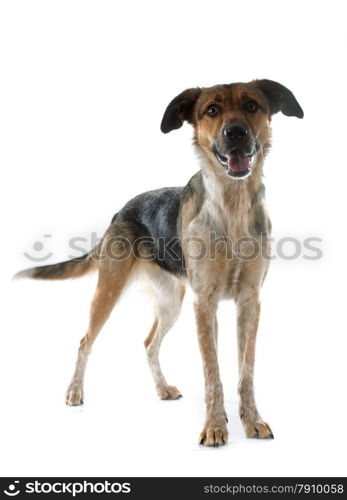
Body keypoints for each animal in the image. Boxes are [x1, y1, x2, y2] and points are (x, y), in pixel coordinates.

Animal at [17, 80, 304, 448]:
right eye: (212, 110)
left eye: (252, 105)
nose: (235, 132)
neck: (232, 206)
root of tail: (120, 212)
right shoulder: (204, 303)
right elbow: (213, 372)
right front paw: (215, 426)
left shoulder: (249, 302)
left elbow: (245, 371)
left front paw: (250, 420)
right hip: (109, 291)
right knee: (85, 343)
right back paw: (74, 392)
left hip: (172, 302)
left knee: (149, 343)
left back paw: (162, 388)